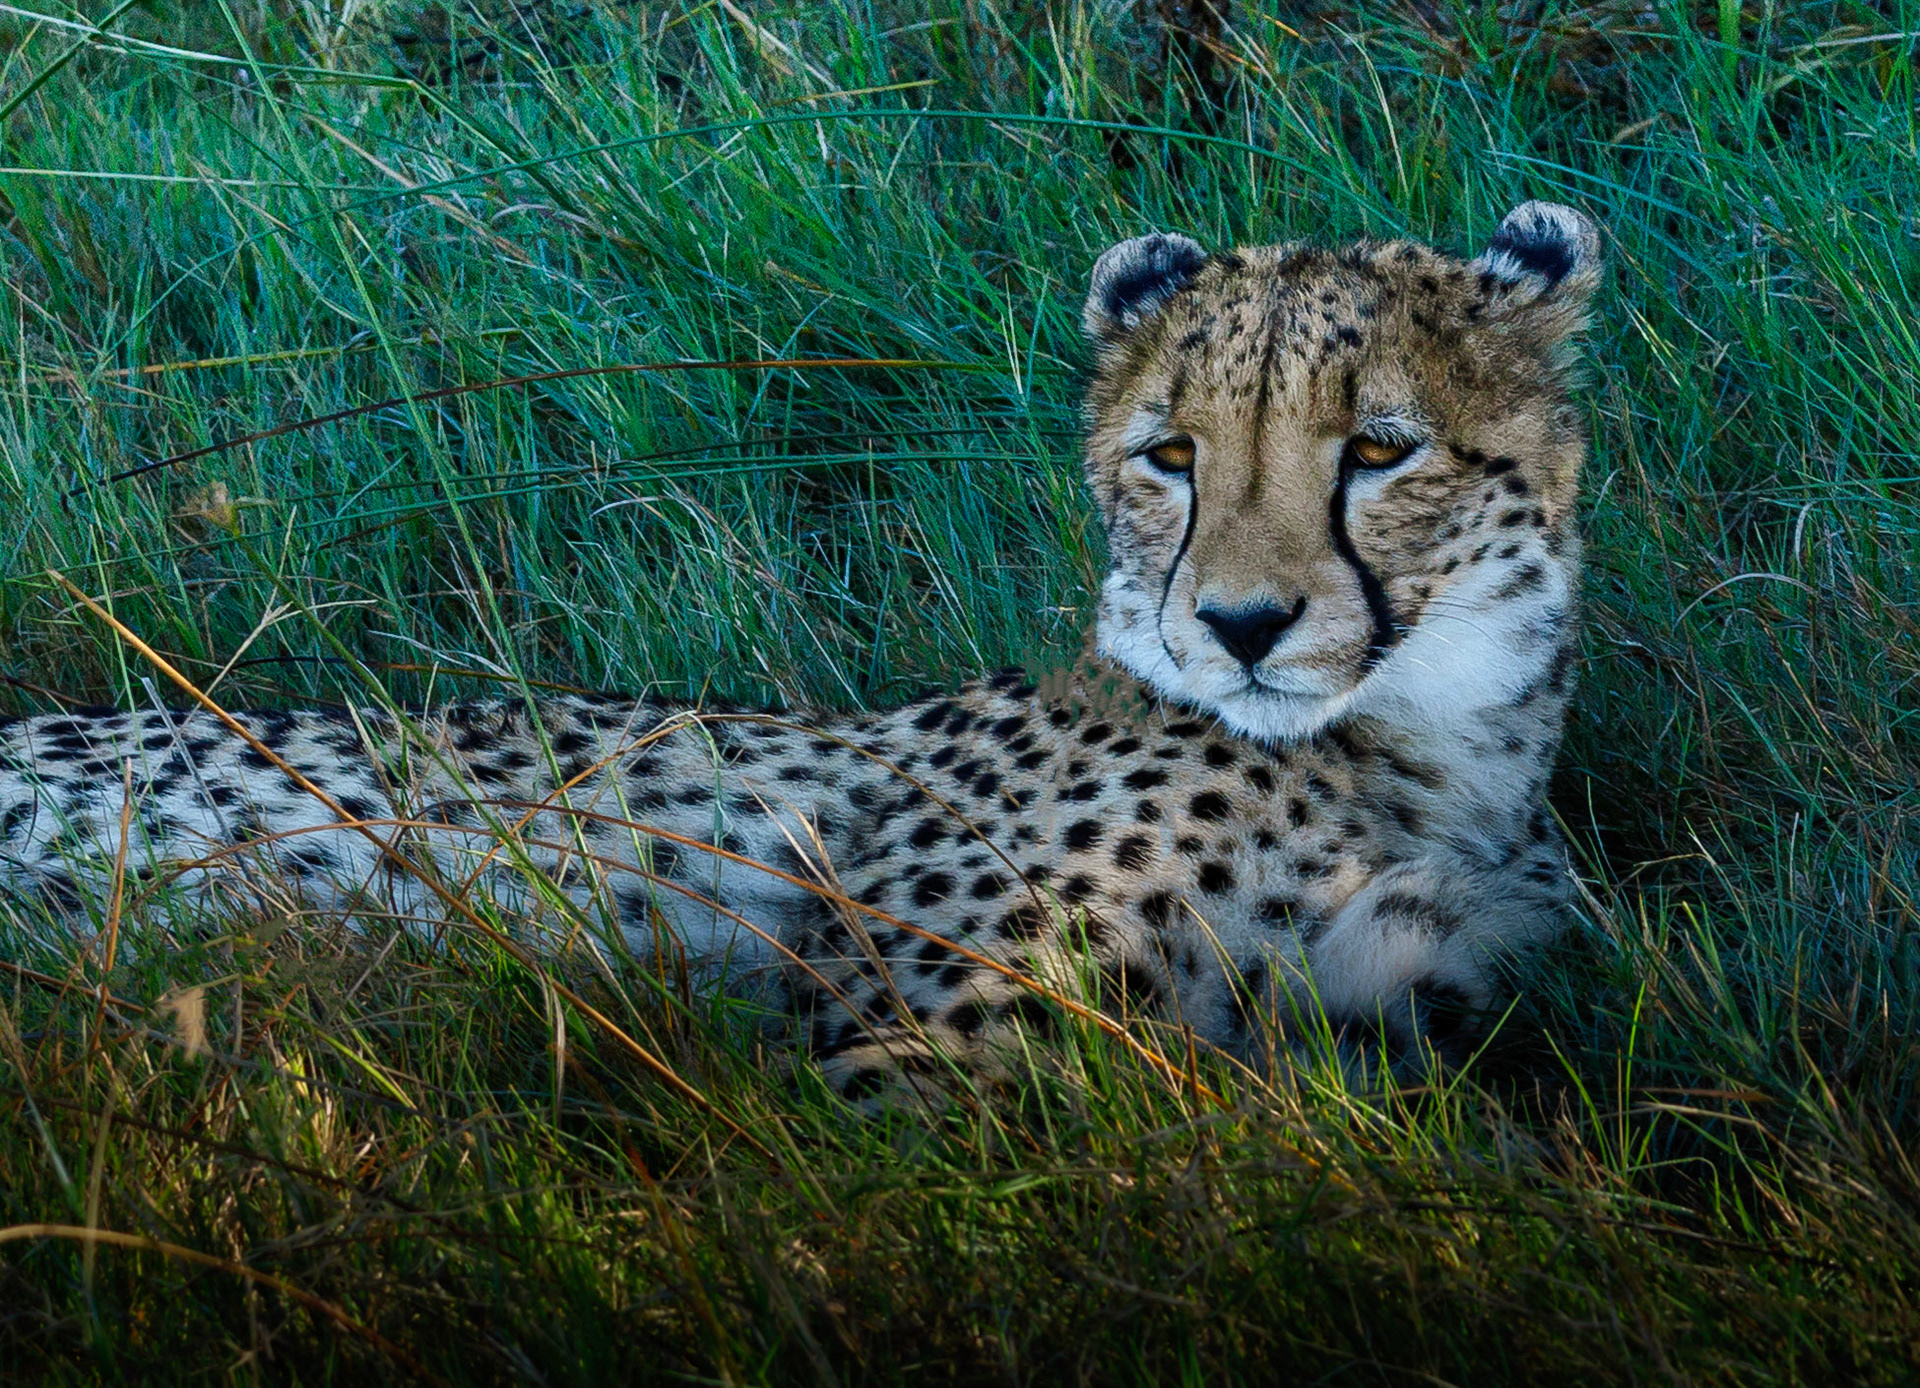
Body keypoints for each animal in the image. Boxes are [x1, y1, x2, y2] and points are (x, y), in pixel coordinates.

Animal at [0, 201, 1601, 1097]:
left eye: (1379, 451)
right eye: (1172, 456)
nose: (1241, 625)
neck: (1433, 754)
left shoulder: (1445, 987)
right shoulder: (898, 1050)